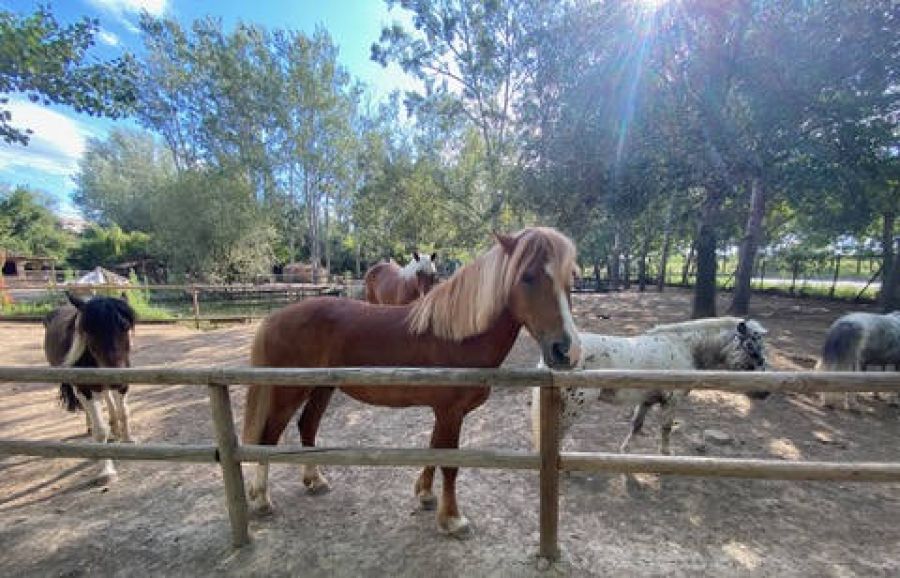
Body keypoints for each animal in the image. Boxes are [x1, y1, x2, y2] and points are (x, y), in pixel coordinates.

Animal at [43, 292, 136, 482]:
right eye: (89, 331)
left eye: (125, 326)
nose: (116, 377)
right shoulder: (86, 388)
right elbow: (100, 431)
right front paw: (107, 471)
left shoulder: (123, 384)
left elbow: (124, 412)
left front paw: (128, 438)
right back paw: (92, 427)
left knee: (107, 397)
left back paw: (115, 428)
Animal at [244, 225, 584, 536]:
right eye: (527, 276)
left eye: (570, 279)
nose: (567, 350)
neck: (456, 336)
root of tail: (274, 318)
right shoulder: (450, 412)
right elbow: (449, 463)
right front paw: (453, 519)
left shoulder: (444, 413)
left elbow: (433, 448)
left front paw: (425, 494)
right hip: (288, 391)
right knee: (269, 437)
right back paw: (261, 499)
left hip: (321, 388)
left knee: (307, 426)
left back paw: (315, 481)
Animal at [532, 318, 768, 452]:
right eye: (751, 348)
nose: (765, 392)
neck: (683, 347)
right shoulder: (671, 402)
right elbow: (666, 429)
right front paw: (666, 455)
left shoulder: (646, 401)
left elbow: (636, 426)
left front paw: (625, 451)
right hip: (574, 408)